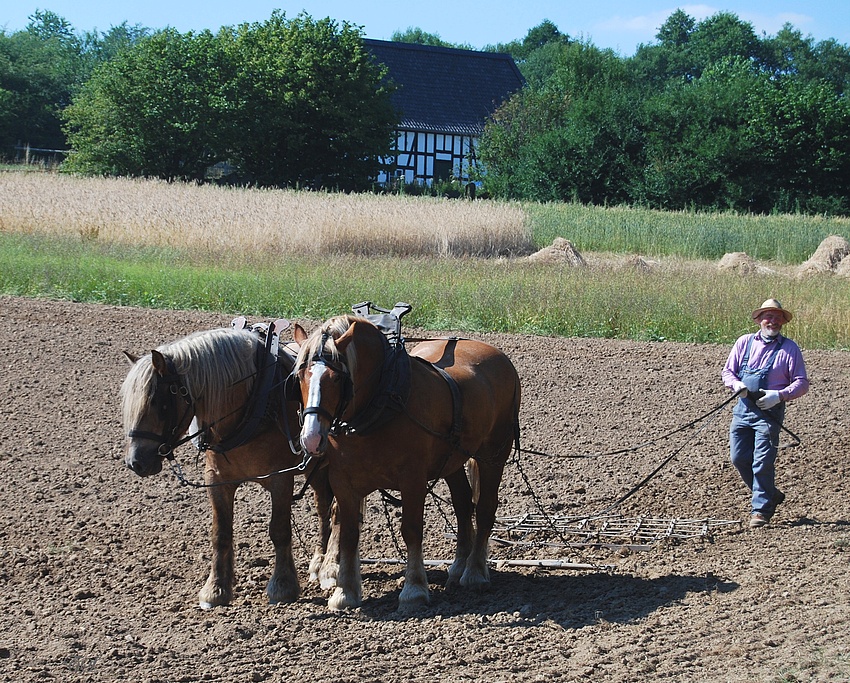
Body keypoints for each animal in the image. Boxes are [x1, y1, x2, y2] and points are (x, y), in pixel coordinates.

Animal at [119, 320, 332, 608]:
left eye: (157, 401)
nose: (136, 462)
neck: (252, 401)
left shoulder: (280, 479)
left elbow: (279, 530)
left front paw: (282, 585)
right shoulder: (217, 479)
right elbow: (220, 534)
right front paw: (216, 588)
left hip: (319, 466)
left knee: (324, 509)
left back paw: (322, 563)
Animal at [292, 316, 520, 616]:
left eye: (337, 377)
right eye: (300, 376)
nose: (311, 437)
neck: (381, 402)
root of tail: (498, 355)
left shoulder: (413, 480)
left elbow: (411, 530)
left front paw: (414, 590)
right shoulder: (343, 482)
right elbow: (348, 532)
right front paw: (345, 592)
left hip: (493, 455)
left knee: (484, 509)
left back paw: (474, 572)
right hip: (452, 462)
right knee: (462, 504)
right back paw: (458, 566)